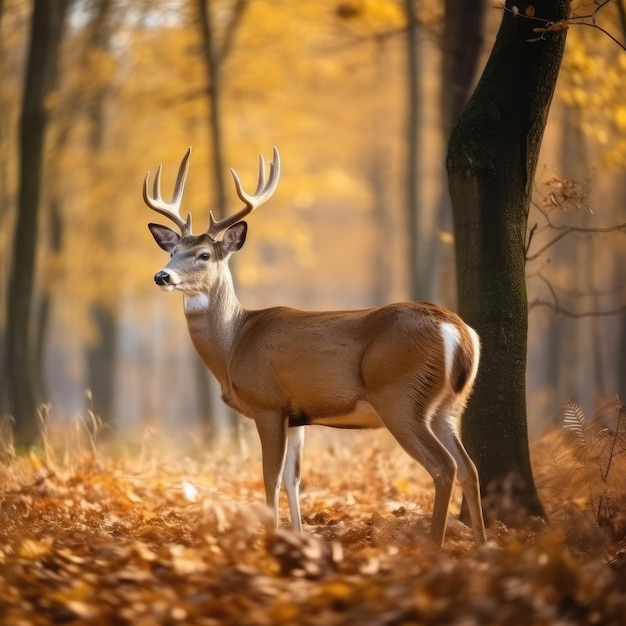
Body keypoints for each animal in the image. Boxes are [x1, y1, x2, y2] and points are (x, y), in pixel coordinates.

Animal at [144, 146, 486, 544]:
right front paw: (298, 537)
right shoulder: (298, 416)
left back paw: (433, 546)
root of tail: (459, 330)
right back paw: (482, 546)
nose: (162, 276)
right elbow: (295, 480)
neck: (233, 344)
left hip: (401, 396)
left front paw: (271, 538)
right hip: (449, 405)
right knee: (469, 467)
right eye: (172, 252)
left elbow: (271, 478)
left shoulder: (268, 403)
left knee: (444, 467)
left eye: (204, 255)